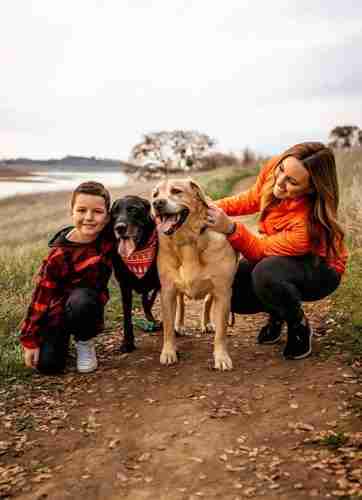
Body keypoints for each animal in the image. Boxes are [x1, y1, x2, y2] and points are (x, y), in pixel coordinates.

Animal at [111, 194, 160, 352]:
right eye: (114, 212)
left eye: (133, 209)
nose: (119, 228)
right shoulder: (124, 286)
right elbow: (127, 316)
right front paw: (127, 342)